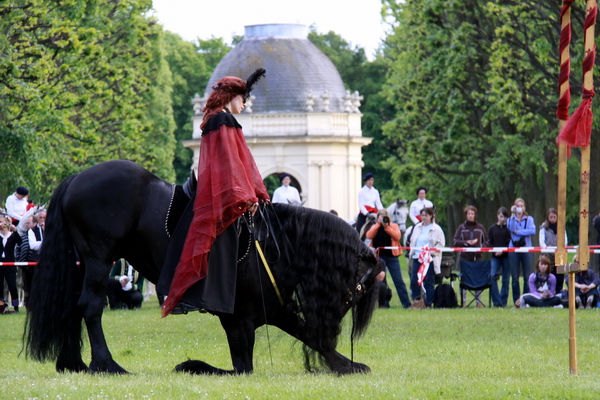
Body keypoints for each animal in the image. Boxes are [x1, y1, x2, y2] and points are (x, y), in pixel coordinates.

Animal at [24, 159, 380, 376]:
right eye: (360, 284)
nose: (337, 326)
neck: (275, 244)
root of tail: (77, 177)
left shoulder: (272, 310)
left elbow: (307, 334)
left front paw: (345, 363)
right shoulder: (238, 320)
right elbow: (241, 367)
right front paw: (192, 365)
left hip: (83, 263)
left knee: (71, 306)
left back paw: (72, 362)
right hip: (100, 258)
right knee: (91, 306)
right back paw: (106, 363)